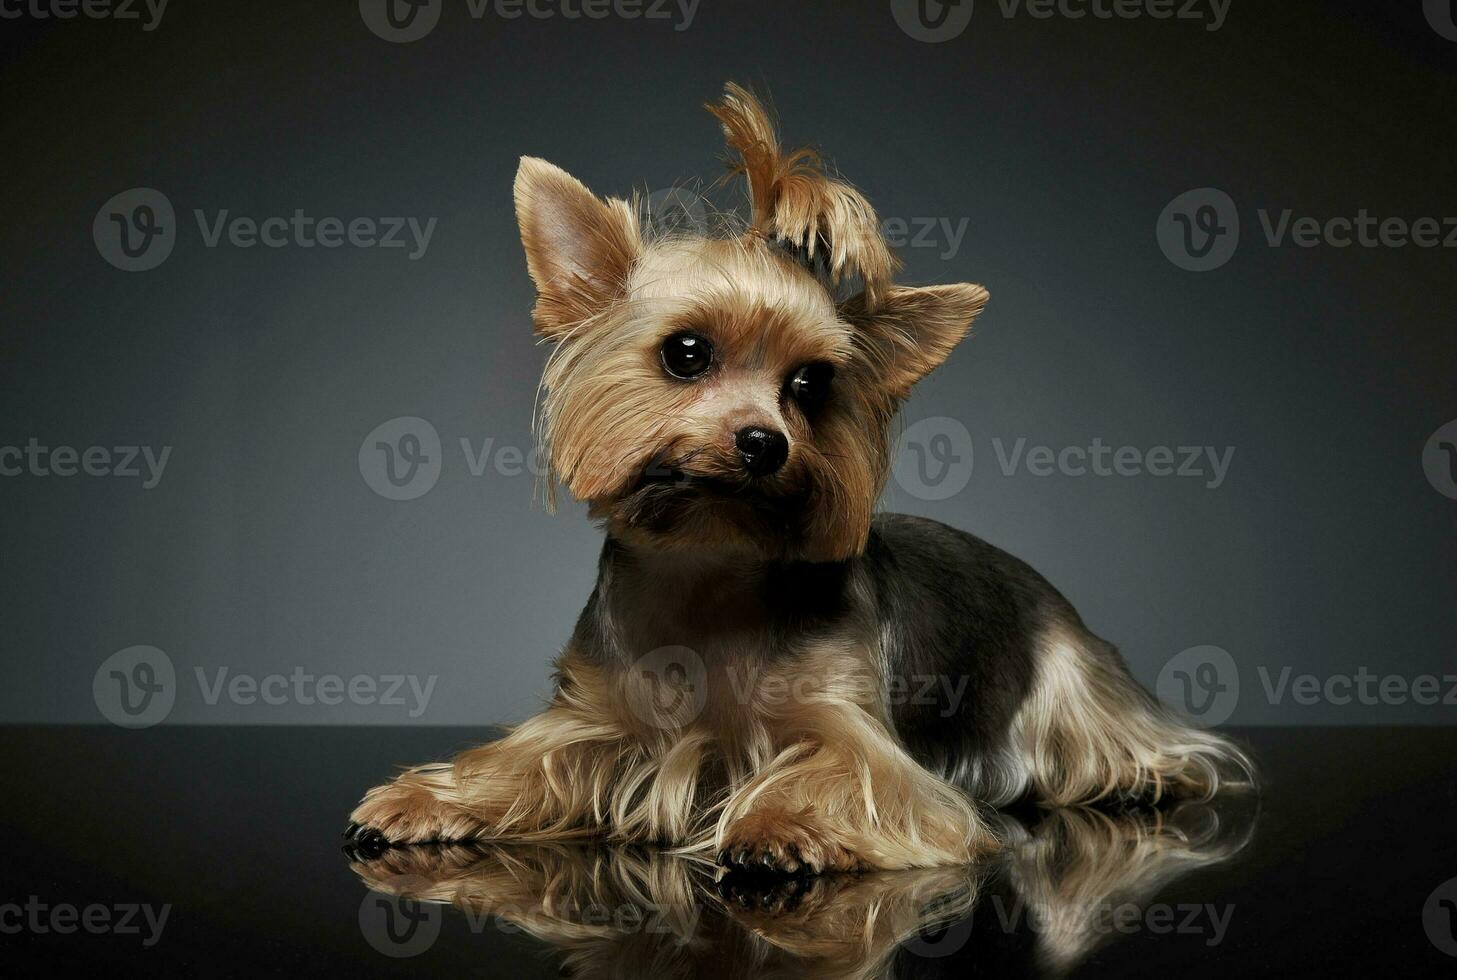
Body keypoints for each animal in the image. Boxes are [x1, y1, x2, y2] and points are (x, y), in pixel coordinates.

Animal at [349, 82, 1253, 873]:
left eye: (812, 385)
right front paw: (426, 800)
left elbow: (844, 772)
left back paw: (1145, 773)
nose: (764, 444)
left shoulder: (853, 729)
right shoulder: (595, 713)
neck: (709, 565)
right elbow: (526, 760)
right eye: (686, 352)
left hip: (1066, 682)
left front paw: (782, 824)